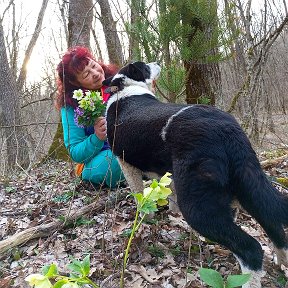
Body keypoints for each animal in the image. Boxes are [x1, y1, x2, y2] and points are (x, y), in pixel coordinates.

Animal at [104, 62, 288, 286]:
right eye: (145, 66)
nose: (156, 63)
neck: (126, 88)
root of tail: (228, 128)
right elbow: (170, 194)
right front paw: (172, 214)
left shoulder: (126, 164)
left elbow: (139, 194)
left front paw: (145, 218)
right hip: (247, 185)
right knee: (274, 225)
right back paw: (282, 263)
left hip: (199, 207)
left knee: (251, 248)